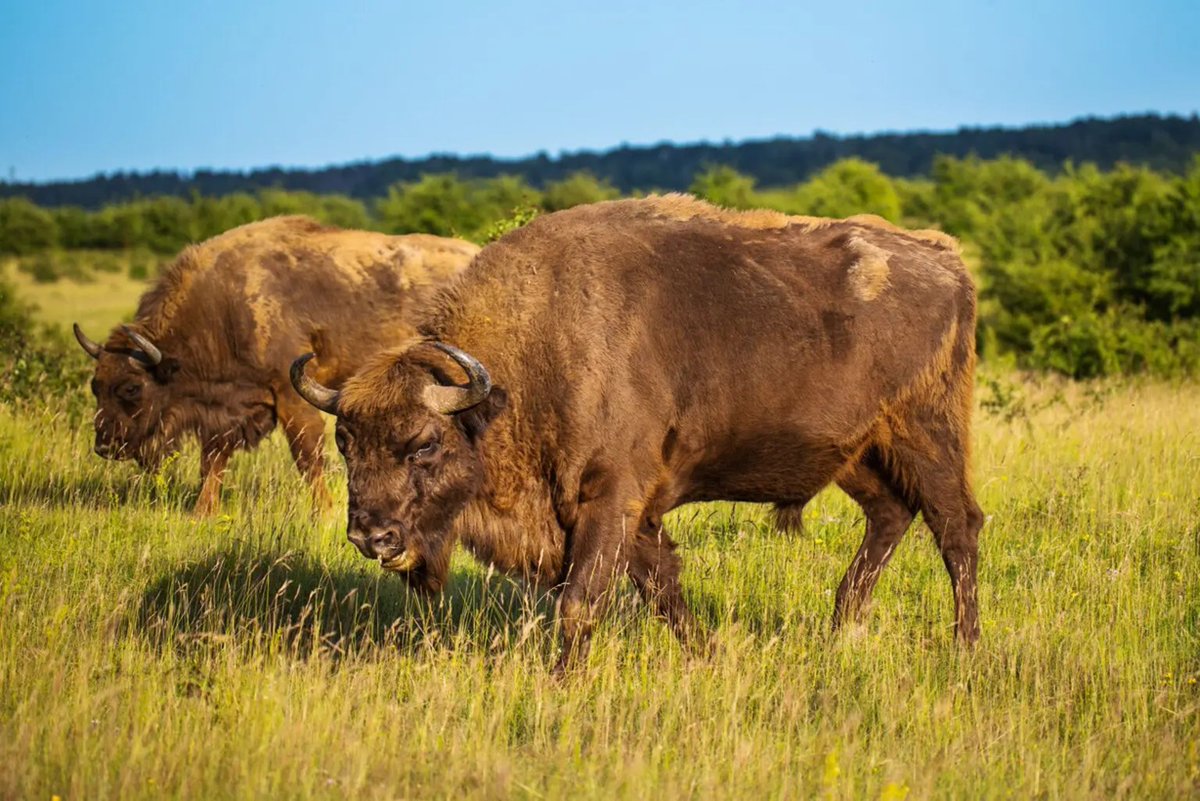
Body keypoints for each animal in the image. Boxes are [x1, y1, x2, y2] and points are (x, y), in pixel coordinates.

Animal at [75, 216, 479, 515]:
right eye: (95, 385)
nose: (105, 446)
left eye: (131, 387)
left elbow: (307, 455)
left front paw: (323, 512)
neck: (223, 307)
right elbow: (213, 458)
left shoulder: (290, 393)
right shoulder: (230, 410)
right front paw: (203, 511)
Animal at [291, 196, 984, 669]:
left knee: (956, 527)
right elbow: (662, 586)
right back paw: (843, 630)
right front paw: (707, 657)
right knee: (892, 514)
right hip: (856, 453)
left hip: (925, 432)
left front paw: (561, 685)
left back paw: (965, 649)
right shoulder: (635, 513)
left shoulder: (610, 498)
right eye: (346, 443)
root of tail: (946, 259)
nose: (371, 537)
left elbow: (582, 602)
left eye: (425, 444)